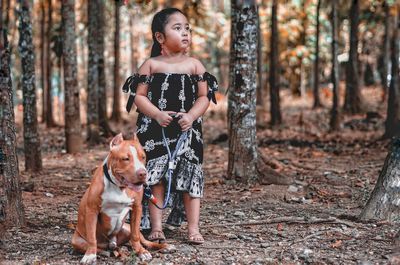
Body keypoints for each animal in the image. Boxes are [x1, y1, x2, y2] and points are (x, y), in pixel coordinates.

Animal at [72, 133, 169, 262]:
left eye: (143, 157)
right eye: (125, 159)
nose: (143, 173)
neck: (119, 187)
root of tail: (112, 243)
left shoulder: (137, 207)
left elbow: (135, 235)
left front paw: (141, 252)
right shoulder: (92, 210)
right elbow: (92, 237)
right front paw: (90, 255)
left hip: (127, 228)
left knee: (142, 240)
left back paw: (164, 246)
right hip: (76, 240)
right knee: (97, 245)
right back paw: (104, 252)